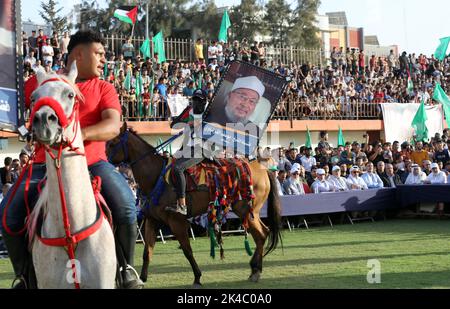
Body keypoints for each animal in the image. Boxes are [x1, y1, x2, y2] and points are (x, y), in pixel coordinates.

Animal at [106, 122, 282, 286]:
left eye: (113, 143)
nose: (104, 160)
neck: (157, 177)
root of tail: (263, 168)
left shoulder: (177, 222)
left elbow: (187, 251)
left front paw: (197, 277)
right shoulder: (152, 221)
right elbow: (147, 252)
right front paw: (141, 279)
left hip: (246, 211)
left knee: (261, 235)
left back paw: (256, 271)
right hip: (250, 212)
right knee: (263, 233)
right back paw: (255, 269)